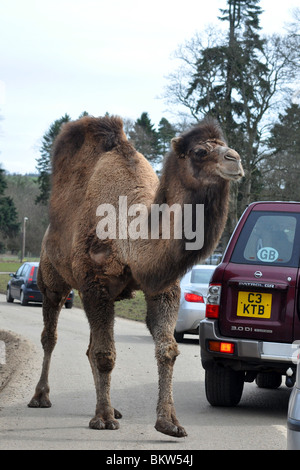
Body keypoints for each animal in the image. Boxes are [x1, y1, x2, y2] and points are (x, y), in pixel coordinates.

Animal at [28, 114, 244, 436]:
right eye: (200, 151)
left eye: (225, 144)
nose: (235, 160)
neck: (130, 236)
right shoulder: (95, 284)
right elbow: (105, 353)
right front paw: (104, 419)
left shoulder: (162, 287)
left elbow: (167, 350)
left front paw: (169, 422)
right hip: (53, 279)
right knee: (50, 336)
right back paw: (41, 397)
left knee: (88, 347)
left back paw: (111, 407)